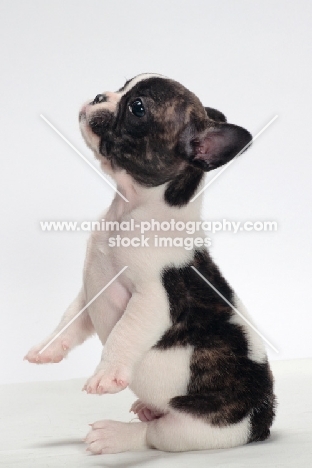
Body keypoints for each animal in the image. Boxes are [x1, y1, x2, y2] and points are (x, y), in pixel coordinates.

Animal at [25, 73, 276, 454]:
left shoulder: (154, 296)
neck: (128, 211)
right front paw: (47, 348)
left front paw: (105, 374)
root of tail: (262, 420)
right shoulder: (91, 290)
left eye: (138, 108)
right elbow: (68, 321)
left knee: (155, 435)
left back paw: (114, 434)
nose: (99, 96)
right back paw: (144, 408)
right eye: (121, 86)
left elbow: (124, 334)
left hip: (198, 427)